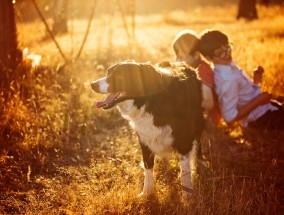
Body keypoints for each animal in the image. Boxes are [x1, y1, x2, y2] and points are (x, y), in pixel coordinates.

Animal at [91, 61, 204, 197]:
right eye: (108, 73)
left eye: (119, 77)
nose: (92, 85)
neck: (148, 100)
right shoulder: (145, 138)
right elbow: (148, 167)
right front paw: (146, 193)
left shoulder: (183, 140)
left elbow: (185, 172)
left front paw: (187, 196)